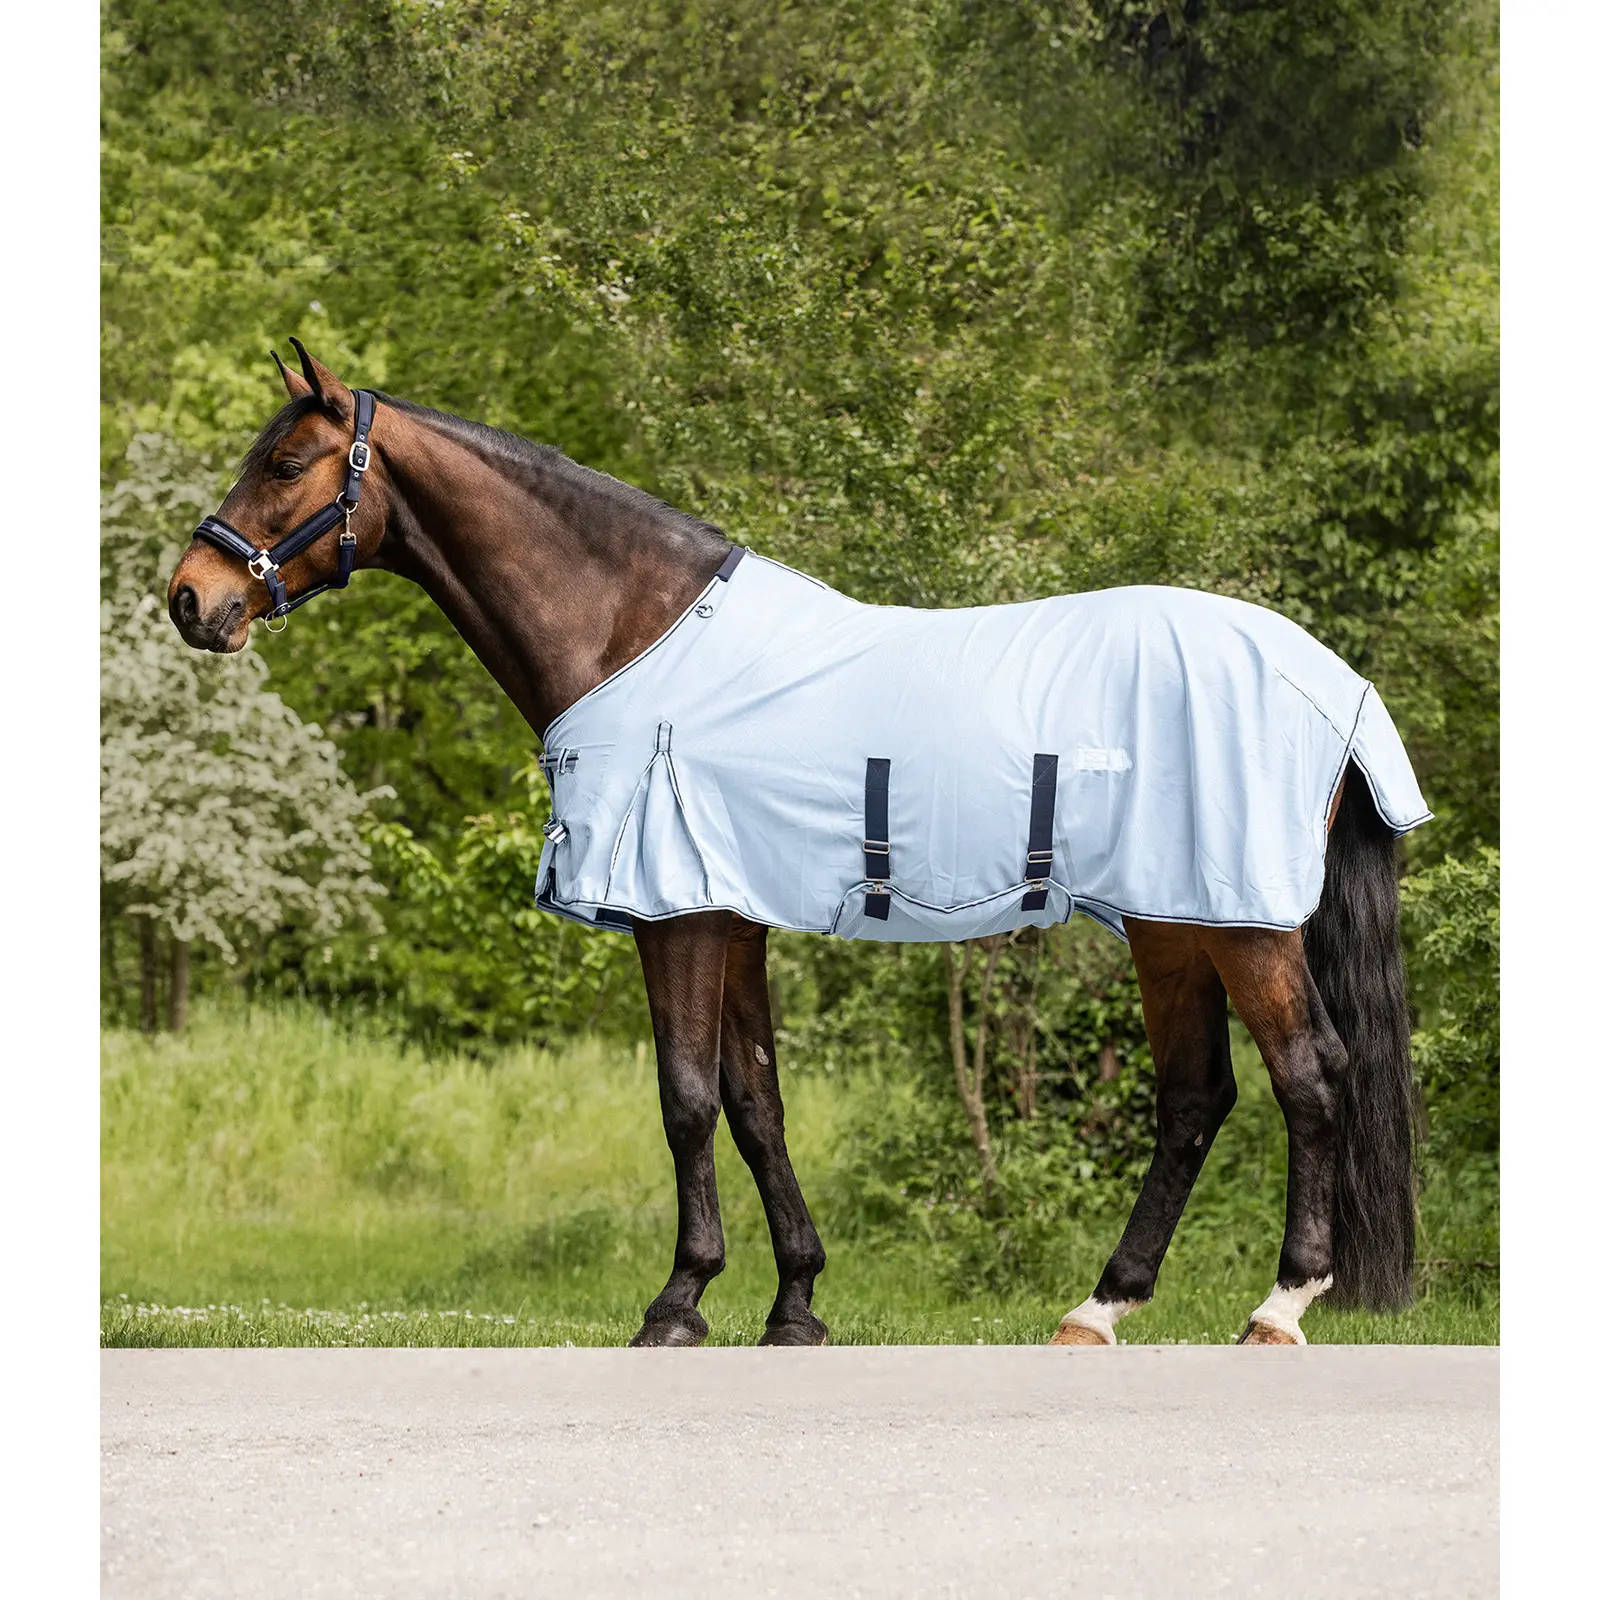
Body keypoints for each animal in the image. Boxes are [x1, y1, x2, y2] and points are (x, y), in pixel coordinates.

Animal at [167, 342, 1420, 1348]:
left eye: (286, 463)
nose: (190, 597)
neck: (636, 631)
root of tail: (1333, 679)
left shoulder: (676, 913)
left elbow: (684, 1097)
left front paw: (678, 1302)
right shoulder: (733, 917)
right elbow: (754, 1100)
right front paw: (796, 1303)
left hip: (1240, 922)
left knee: (1310, 1074)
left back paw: (1278, 1307)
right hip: (1169, 920)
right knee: (1195, 1097)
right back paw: (1099, 1306)